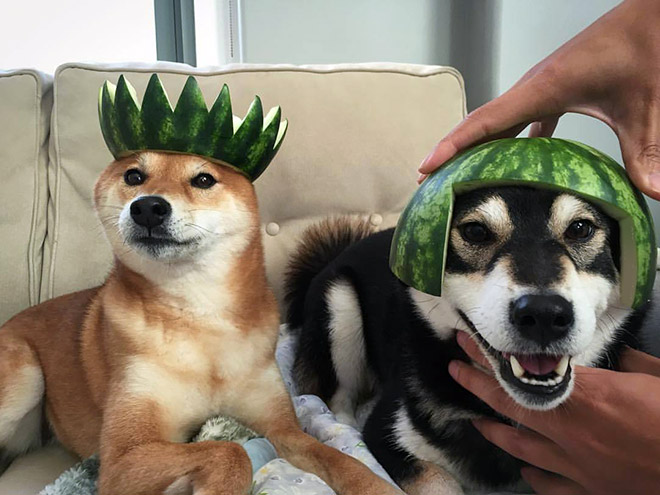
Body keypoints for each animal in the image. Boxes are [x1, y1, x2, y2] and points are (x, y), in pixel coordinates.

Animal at [0, 152, 400, 495]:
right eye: (134, 176)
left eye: (204, 179)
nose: (147, 207)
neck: (200, 315)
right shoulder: (121, 459)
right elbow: (228, 451)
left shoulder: (281, 428)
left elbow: (339, 459)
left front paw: (376, 484)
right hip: (25, 377)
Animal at [286, 187, 652, 495]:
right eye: (476, 232)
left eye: (579, 228)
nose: (544, 315)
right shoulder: (389, 435)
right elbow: (438, 481)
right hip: (340, 306)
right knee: (338, 401)